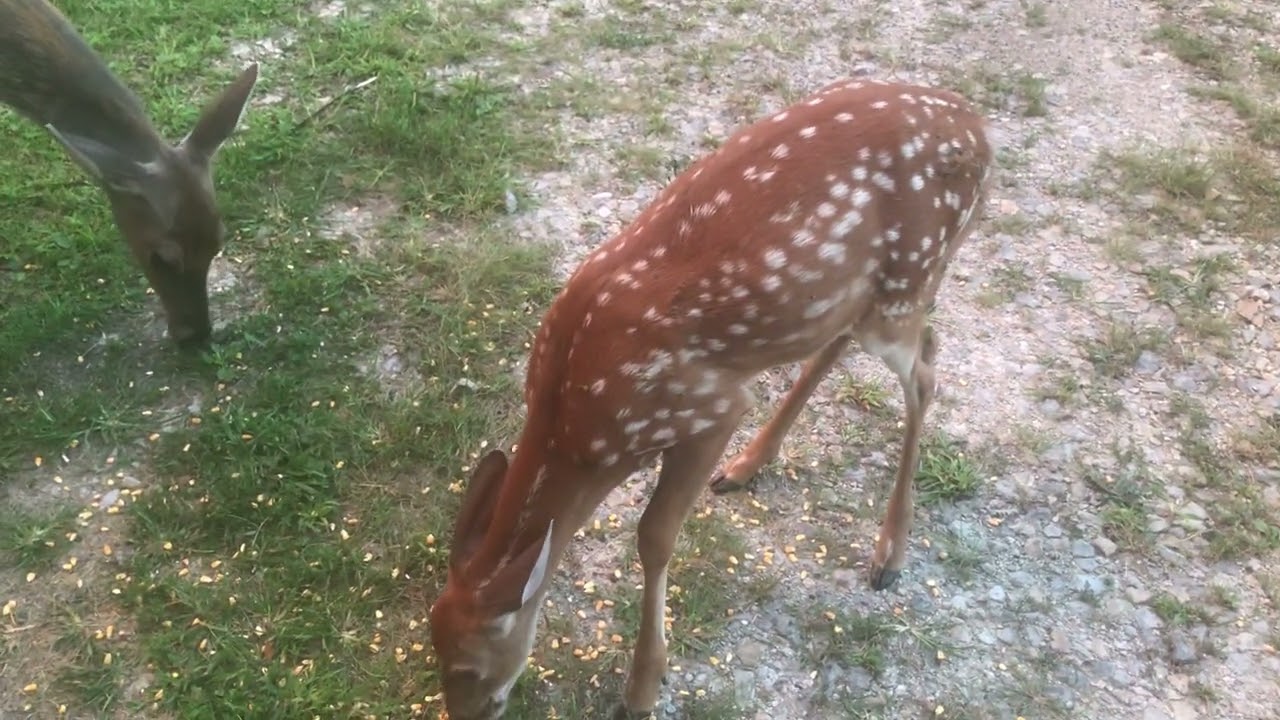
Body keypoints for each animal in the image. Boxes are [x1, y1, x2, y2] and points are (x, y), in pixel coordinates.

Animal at [429, 77, 996, 720]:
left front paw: (643, 688)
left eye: (470, 668)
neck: (580, 429)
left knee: (925, 369)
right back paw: (749, 466)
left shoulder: (707, 408)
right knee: (848, 343)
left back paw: (890, 555)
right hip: (847, 296)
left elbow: (653, 536)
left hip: (908, 279)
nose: (463, 714)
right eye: (434, 647)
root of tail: (982, 135)